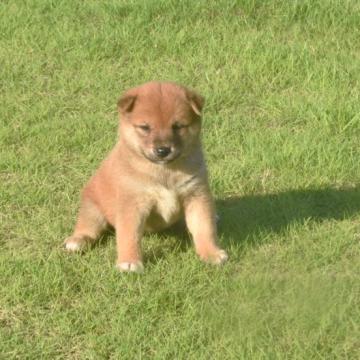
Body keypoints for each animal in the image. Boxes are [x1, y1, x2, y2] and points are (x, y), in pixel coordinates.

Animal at [64, 82, 228, 272]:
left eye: (178, 126)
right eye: (145, 127)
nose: (163, 150)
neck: (164, 171)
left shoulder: (196, 195)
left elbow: (204, 227)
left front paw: (211, 253)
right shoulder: (132, 203)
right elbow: (129, 235)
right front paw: (129, 261)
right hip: (93, 208)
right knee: (88, 227)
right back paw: (77, 240)